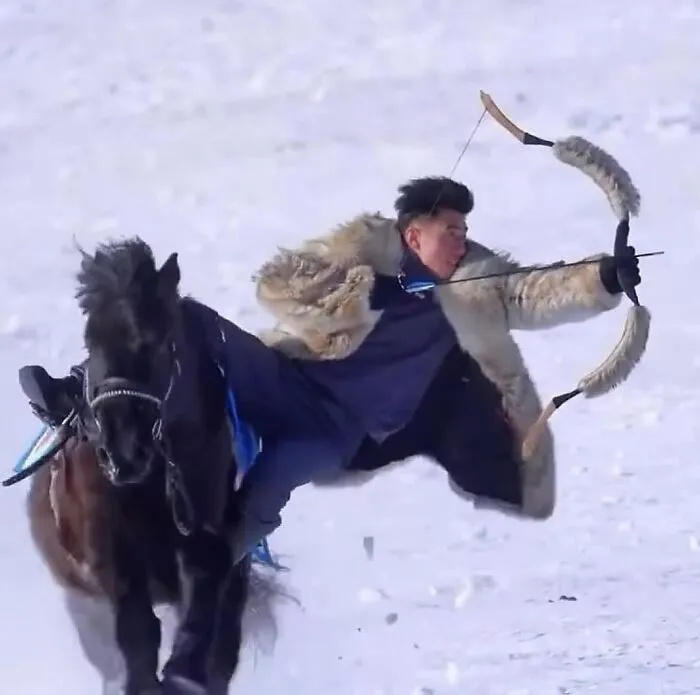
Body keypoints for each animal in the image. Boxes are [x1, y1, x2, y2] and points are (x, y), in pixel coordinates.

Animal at [22, 237, 283, 695]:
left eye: (161, 344)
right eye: (91, 344)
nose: (123, 453)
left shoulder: (211, 540)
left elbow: (204, 599)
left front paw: (184, 674)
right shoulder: (112, 558)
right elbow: (138, 633)